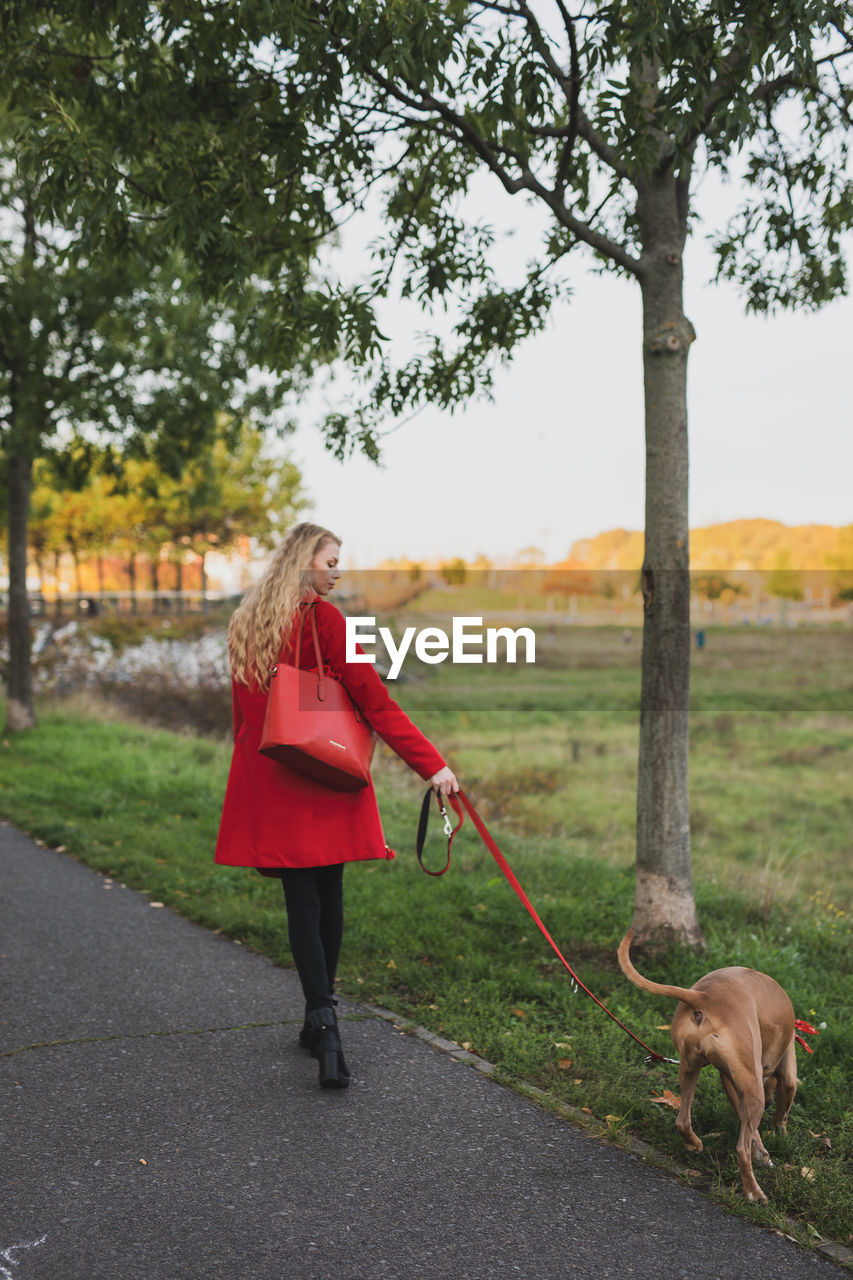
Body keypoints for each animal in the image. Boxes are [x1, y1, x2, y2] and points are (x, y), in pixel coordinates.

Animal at [614, 926, 794, 1203]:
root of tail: (704, 997)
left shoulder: (732, 1082)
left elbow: (749, 1128)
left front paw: (763, 1154)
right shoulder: (778, 1072)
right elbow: (774, 1114)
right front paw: (773, 1143)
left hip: (690, 1067)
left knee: (682, 1120)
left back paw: (693, 1143)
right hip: (751, 1090)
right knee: (740, 1149)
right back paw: (754, 1193)